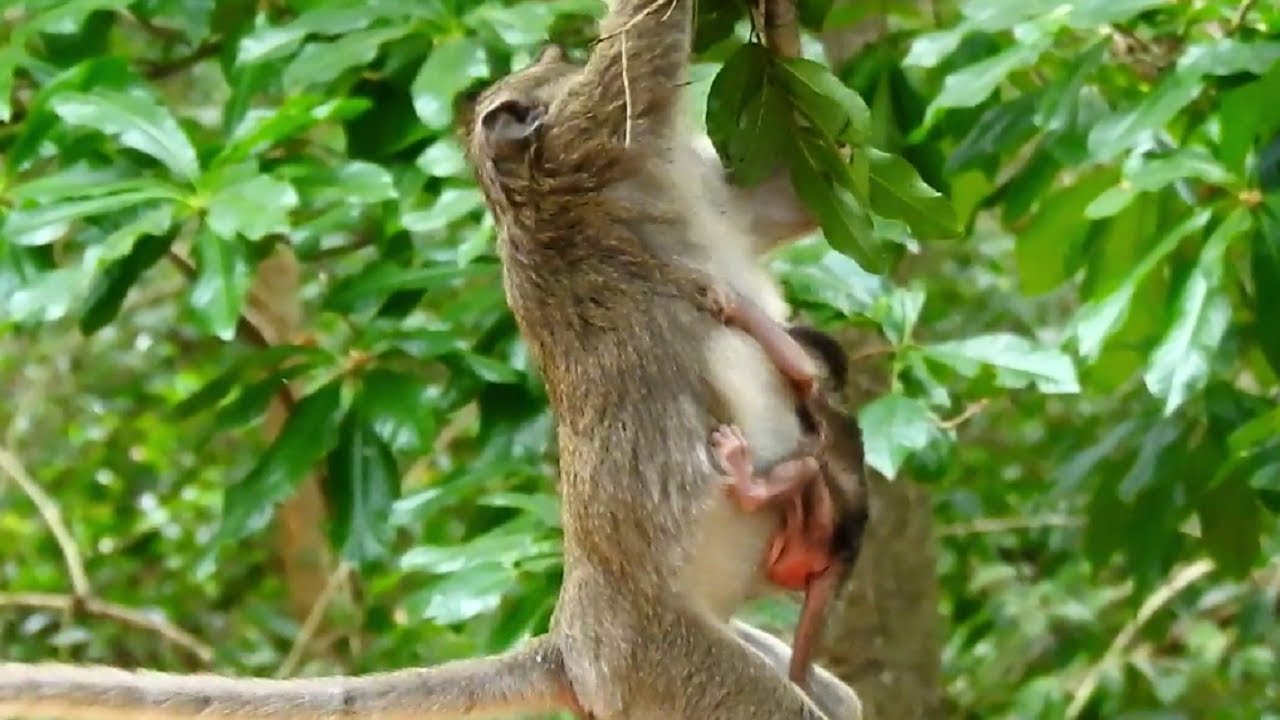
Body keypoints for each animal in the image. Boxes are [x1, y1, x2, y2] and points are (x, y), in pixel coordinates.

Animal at [709, 325, 868, 691]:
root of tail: (847, 556)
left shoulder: (816, 396)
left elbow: (801, 369)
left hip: (815, 534)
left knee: (809, 467)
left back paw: (749, 489)